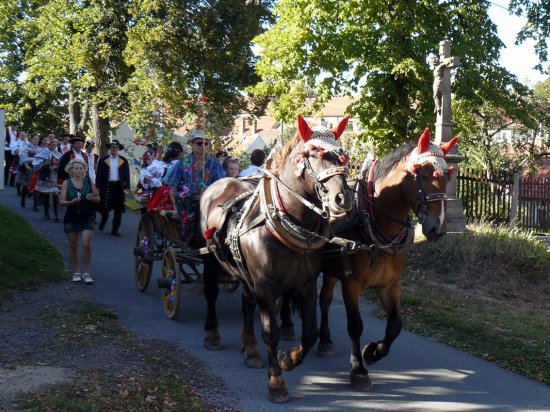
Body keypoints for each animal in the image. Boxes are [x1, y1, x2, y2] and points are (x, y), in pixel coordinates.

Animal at [202, 116, 354, 402]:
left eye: (343, 156)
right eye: (314, 155)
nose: (343, 198)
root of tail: (219, 183)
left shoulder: (306, 283)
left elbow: (310, 331)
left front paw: (288, 359)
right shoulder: (264, 284)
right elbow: (270, 332)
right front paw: (276, 382)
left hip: (244, 272)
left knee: (246, 301)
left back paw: (250, 349)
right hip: (210, 261)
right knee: (211, 294)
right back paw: (212, 333)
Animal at [282, 129, 460, 390]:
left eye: (447, 176)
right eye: (424, 175)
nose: (438, 228)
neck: (374, 224)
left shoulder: (390, 284)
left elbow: (395, 325)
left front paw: (373, 352)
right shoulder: (351, 285)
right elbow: (355, 326)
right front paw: (358, 369)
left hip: (331, 270)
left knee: (325, 299)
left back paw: (325, 340)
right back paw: (286, 325)